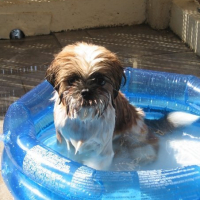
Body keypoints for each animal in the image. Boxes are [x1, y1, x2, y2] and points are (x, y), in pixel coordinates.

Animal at [45, 42, 200, 170]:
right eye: (71, 80)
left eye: (100, 80)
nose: (86, 91)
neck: (84, 119)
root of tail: (140, 115)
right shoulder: (65, 141)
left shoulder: (102, 152)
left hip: (137, 137)